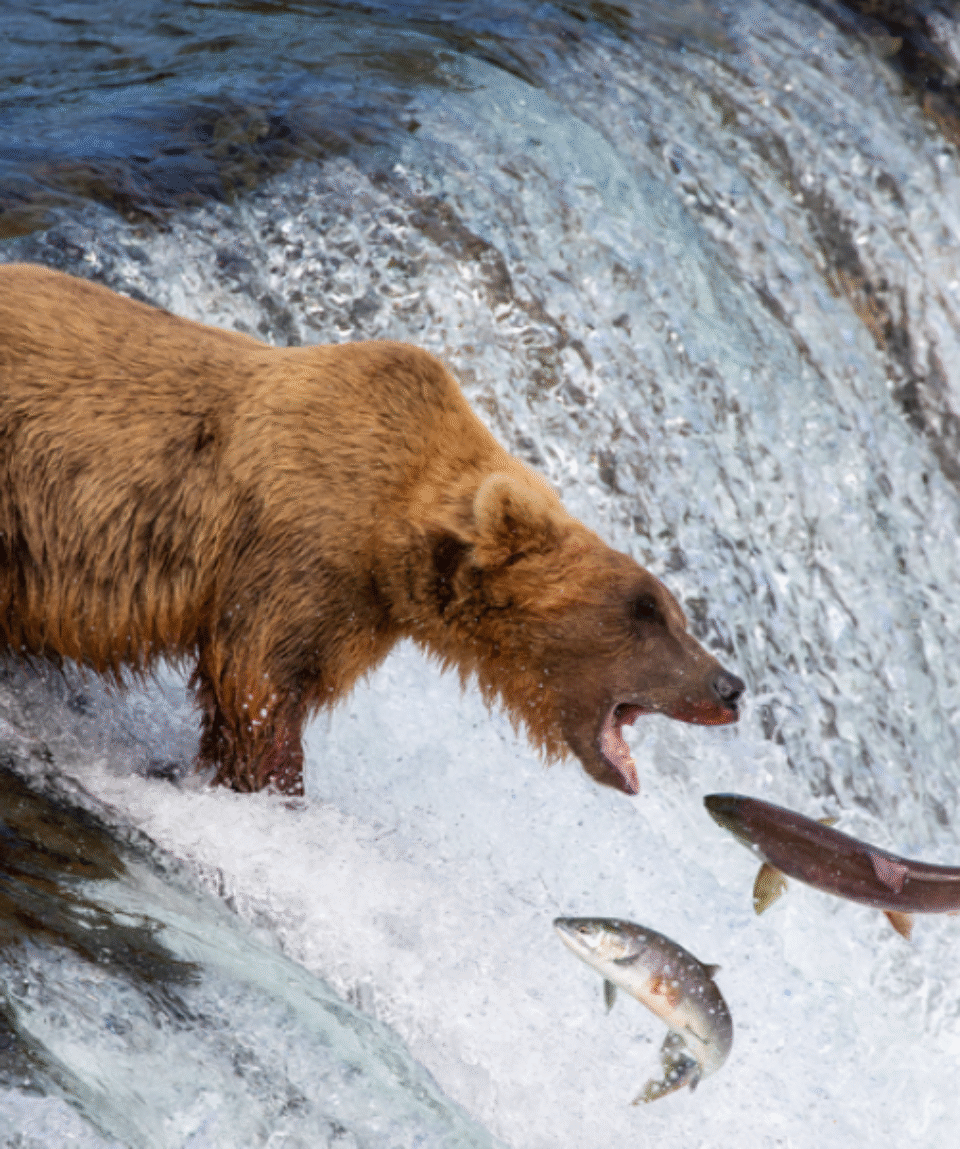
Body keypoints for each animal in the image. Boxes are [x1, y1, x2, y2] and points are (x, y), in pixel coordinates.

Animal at [0, 263, 744, 796]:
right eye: (645, 610)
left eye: (674, 612)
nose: (730, 686)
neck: (393, 530)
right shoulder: (296, 549)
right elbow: (257, 682)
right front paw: (274, 787)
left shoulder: (356, 606)